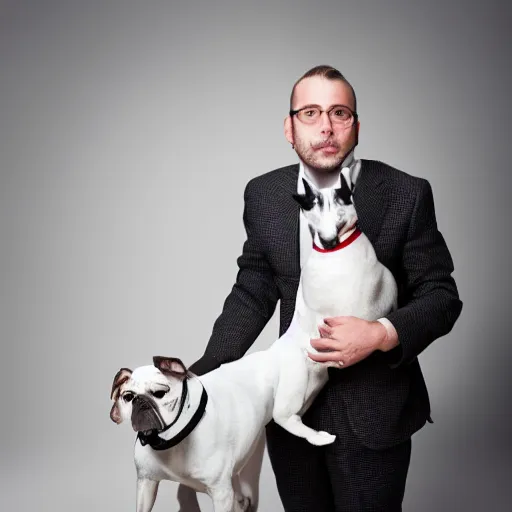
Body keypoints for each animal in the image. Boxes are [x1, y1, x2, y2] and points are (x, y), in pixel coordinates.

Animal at [110, 173, 398, 512]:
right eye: (128, 397)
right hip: (293, 395)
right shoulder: (147, 483)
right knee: (285, 417)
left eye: (160, 393)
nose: (141, 403)